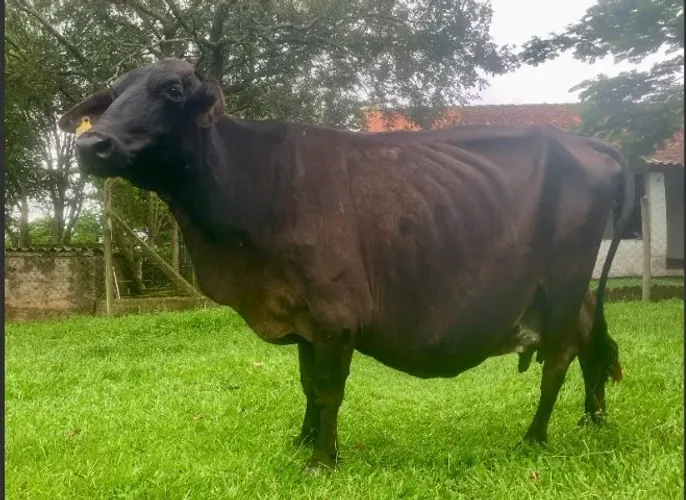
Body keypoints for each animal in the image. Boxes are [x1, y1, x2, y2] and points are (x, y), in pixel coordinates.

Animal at [59, 58, 631, 471]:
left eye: (174, 91)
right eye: (112, 93)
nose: (92, 144)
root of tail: (589, 142)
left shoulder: (336, 315)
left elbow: (329, 389)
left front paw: (322, 460)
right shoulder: (301, 315)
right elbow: (308, 385)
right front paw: (303, 438)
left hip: (562, 281)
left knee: (559, 359)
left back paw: (534, 436)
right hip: (567, 290)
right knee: (593, 343)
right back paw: (593, 418)